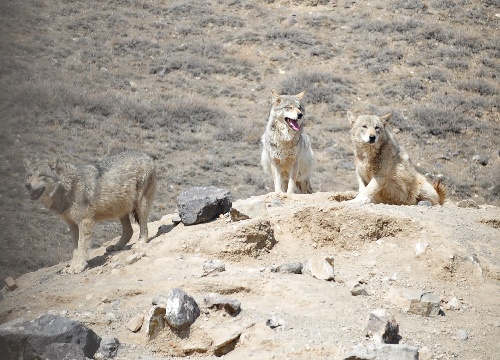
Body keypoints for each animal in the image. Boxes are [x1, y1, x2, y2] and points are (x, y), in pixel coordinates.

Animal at [23, 151, 156, 272]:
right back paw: (117, 246)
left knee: (144, 227)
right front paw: (72, 266)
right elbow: (75, 249)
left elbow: (82, 246)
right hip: (121, 209)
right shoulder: (72, 225)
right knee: (129, 230)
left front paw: (78, 266)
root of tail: (147, 155)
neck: (68, 188)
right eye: (29, 175)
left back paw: (141, 242)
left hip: (140, 205)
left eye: (41, 175)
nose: (27, 185)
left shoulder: (84, 222)